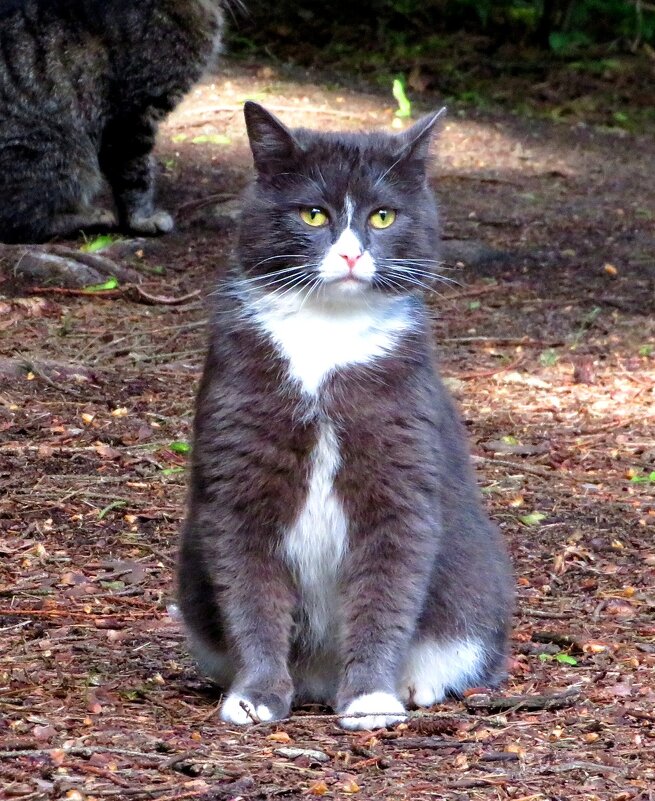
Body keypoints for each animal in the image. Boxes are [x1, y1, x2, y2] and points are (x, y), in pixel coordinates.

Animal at [0, 0, 226, 244]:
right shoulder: (133, 118)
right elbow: (136, 177)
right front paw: (141, 220)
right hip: (63, 152)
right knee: (21, 223)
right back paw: (90, 219)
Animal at [177, 101, 516, 732]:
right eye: (314, 213)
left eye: (383, 216)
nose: (353, 253)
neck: (325, 334)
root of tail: (318, 680)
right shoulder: (238, 470)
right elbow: (249, 591)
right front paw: (255, 696)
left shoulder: (400, 468)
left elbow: (388, 587)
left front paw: (370, 698)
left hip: (477, 584)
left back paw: (414, 687)